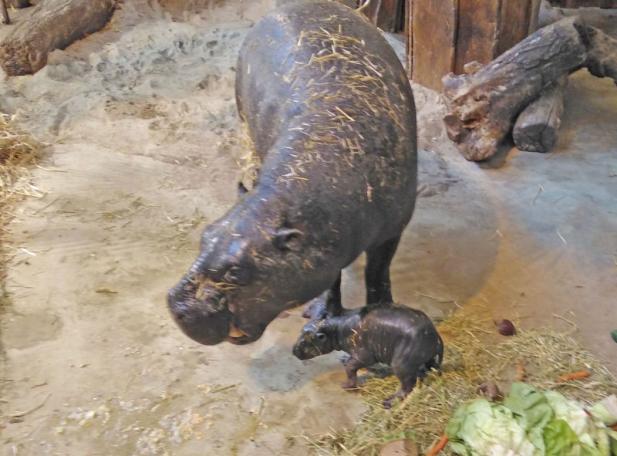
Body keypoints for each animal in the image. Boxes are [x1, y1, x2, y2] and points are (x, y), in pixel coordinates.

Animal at [166, 0, 416, 346]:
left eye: (236, 272)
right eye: (206, 235)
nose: (175, 306)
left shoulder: (392, 228)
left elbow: (377, 273)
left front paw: (382, 310)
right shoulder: (329, 246)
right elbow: (331, 280)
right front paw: (322, 313)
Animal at [292, 304, 440, 408]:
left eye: (304, 341)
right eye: (300, 332)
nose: (293, 351)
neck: (337, 328)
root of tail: (435, 335)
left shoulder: (364, 355)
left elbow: (351, 368)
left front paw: (346, 385)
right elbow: (350, 362)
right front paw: (344, 359)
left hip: (401, 365)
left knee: (408, 385)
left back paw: (389, 401)